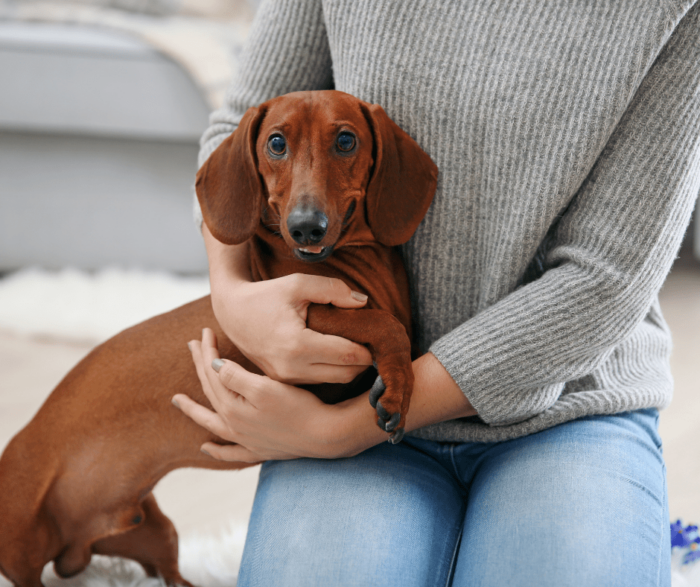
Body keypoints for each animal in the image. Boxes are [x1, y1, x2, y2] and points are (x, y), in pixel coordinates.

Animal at [0, 89, 438, 584]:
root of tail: (76, 550)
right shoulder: (299, 316)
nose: (306, 226)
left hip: (156, 531)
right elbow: (383, 324)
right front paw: (397, 391)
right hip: (21, 544)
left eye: (346, 140)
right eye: (276, 143)